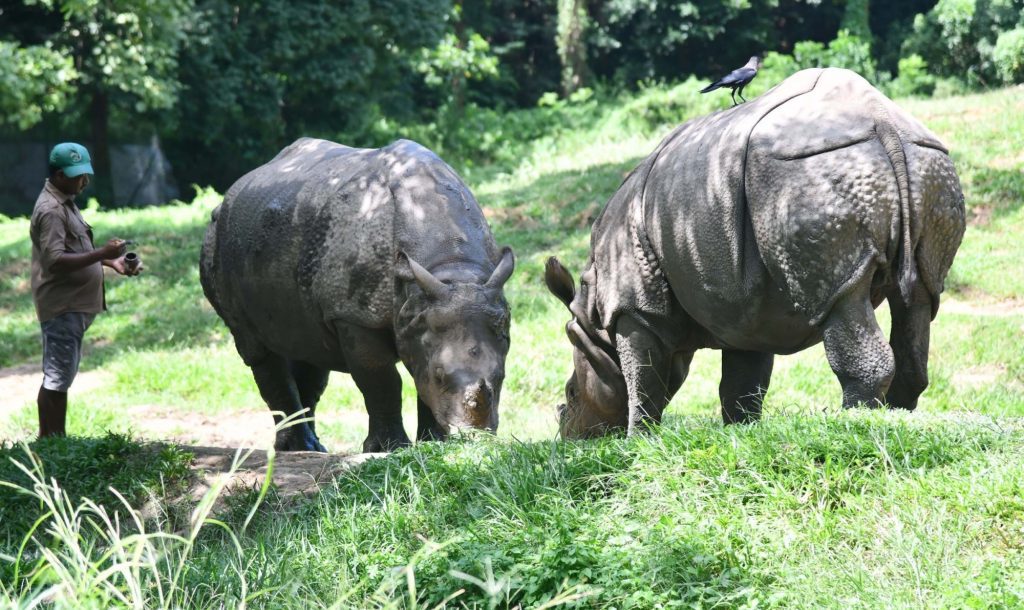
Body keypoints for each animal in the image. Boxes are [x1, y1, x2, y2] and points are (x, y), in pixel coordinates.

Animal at [200, 138, 515, 452]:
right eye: (439, 376)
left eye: (501, 377)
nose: (476, 437)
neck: (450, 268)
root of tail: (236, 188)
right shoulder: (354, 313)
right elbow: (381, 378)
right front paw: (389, 448)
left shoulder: (427, 309)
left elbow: (419, 377)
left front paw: (434, 443)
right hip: (217, 239)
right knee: (256, 348)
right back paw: (298, 448)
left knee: (309, 353)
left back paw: (313, 447)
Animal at [544, 68, 966, 438]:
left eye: (570, 394)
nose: (571, 435)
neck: (592, 316)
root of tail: (883, 123)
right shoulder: (745, 309)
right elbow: (742, 384)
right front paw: (742, 433)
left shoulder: (635, 306)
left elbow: (643, 381)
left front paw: (638, 442)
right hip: (928, 165)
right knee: (920, 296)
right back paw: (898, 418)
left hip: (805, 174)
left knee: (842, 297)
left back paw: (855, 423)